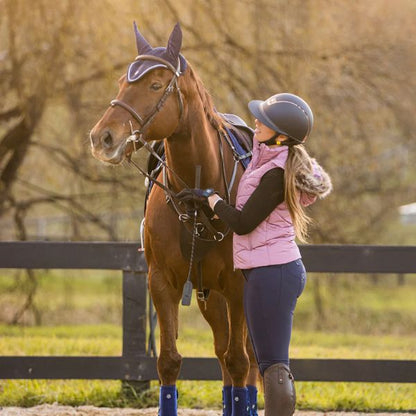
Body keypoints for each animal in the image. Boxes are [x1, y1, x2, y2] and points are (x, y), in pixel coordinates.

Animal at [90, 22, 258, 416]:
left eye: (155, 85)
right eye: (121, 82)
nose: (102, 137)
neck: (199, 196)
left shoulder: (238, 286)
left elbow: (241, 362)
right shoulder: (161, 282)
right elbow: (169, 361)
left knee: (246, 362)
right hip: (209, 297)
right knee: (223, 354)